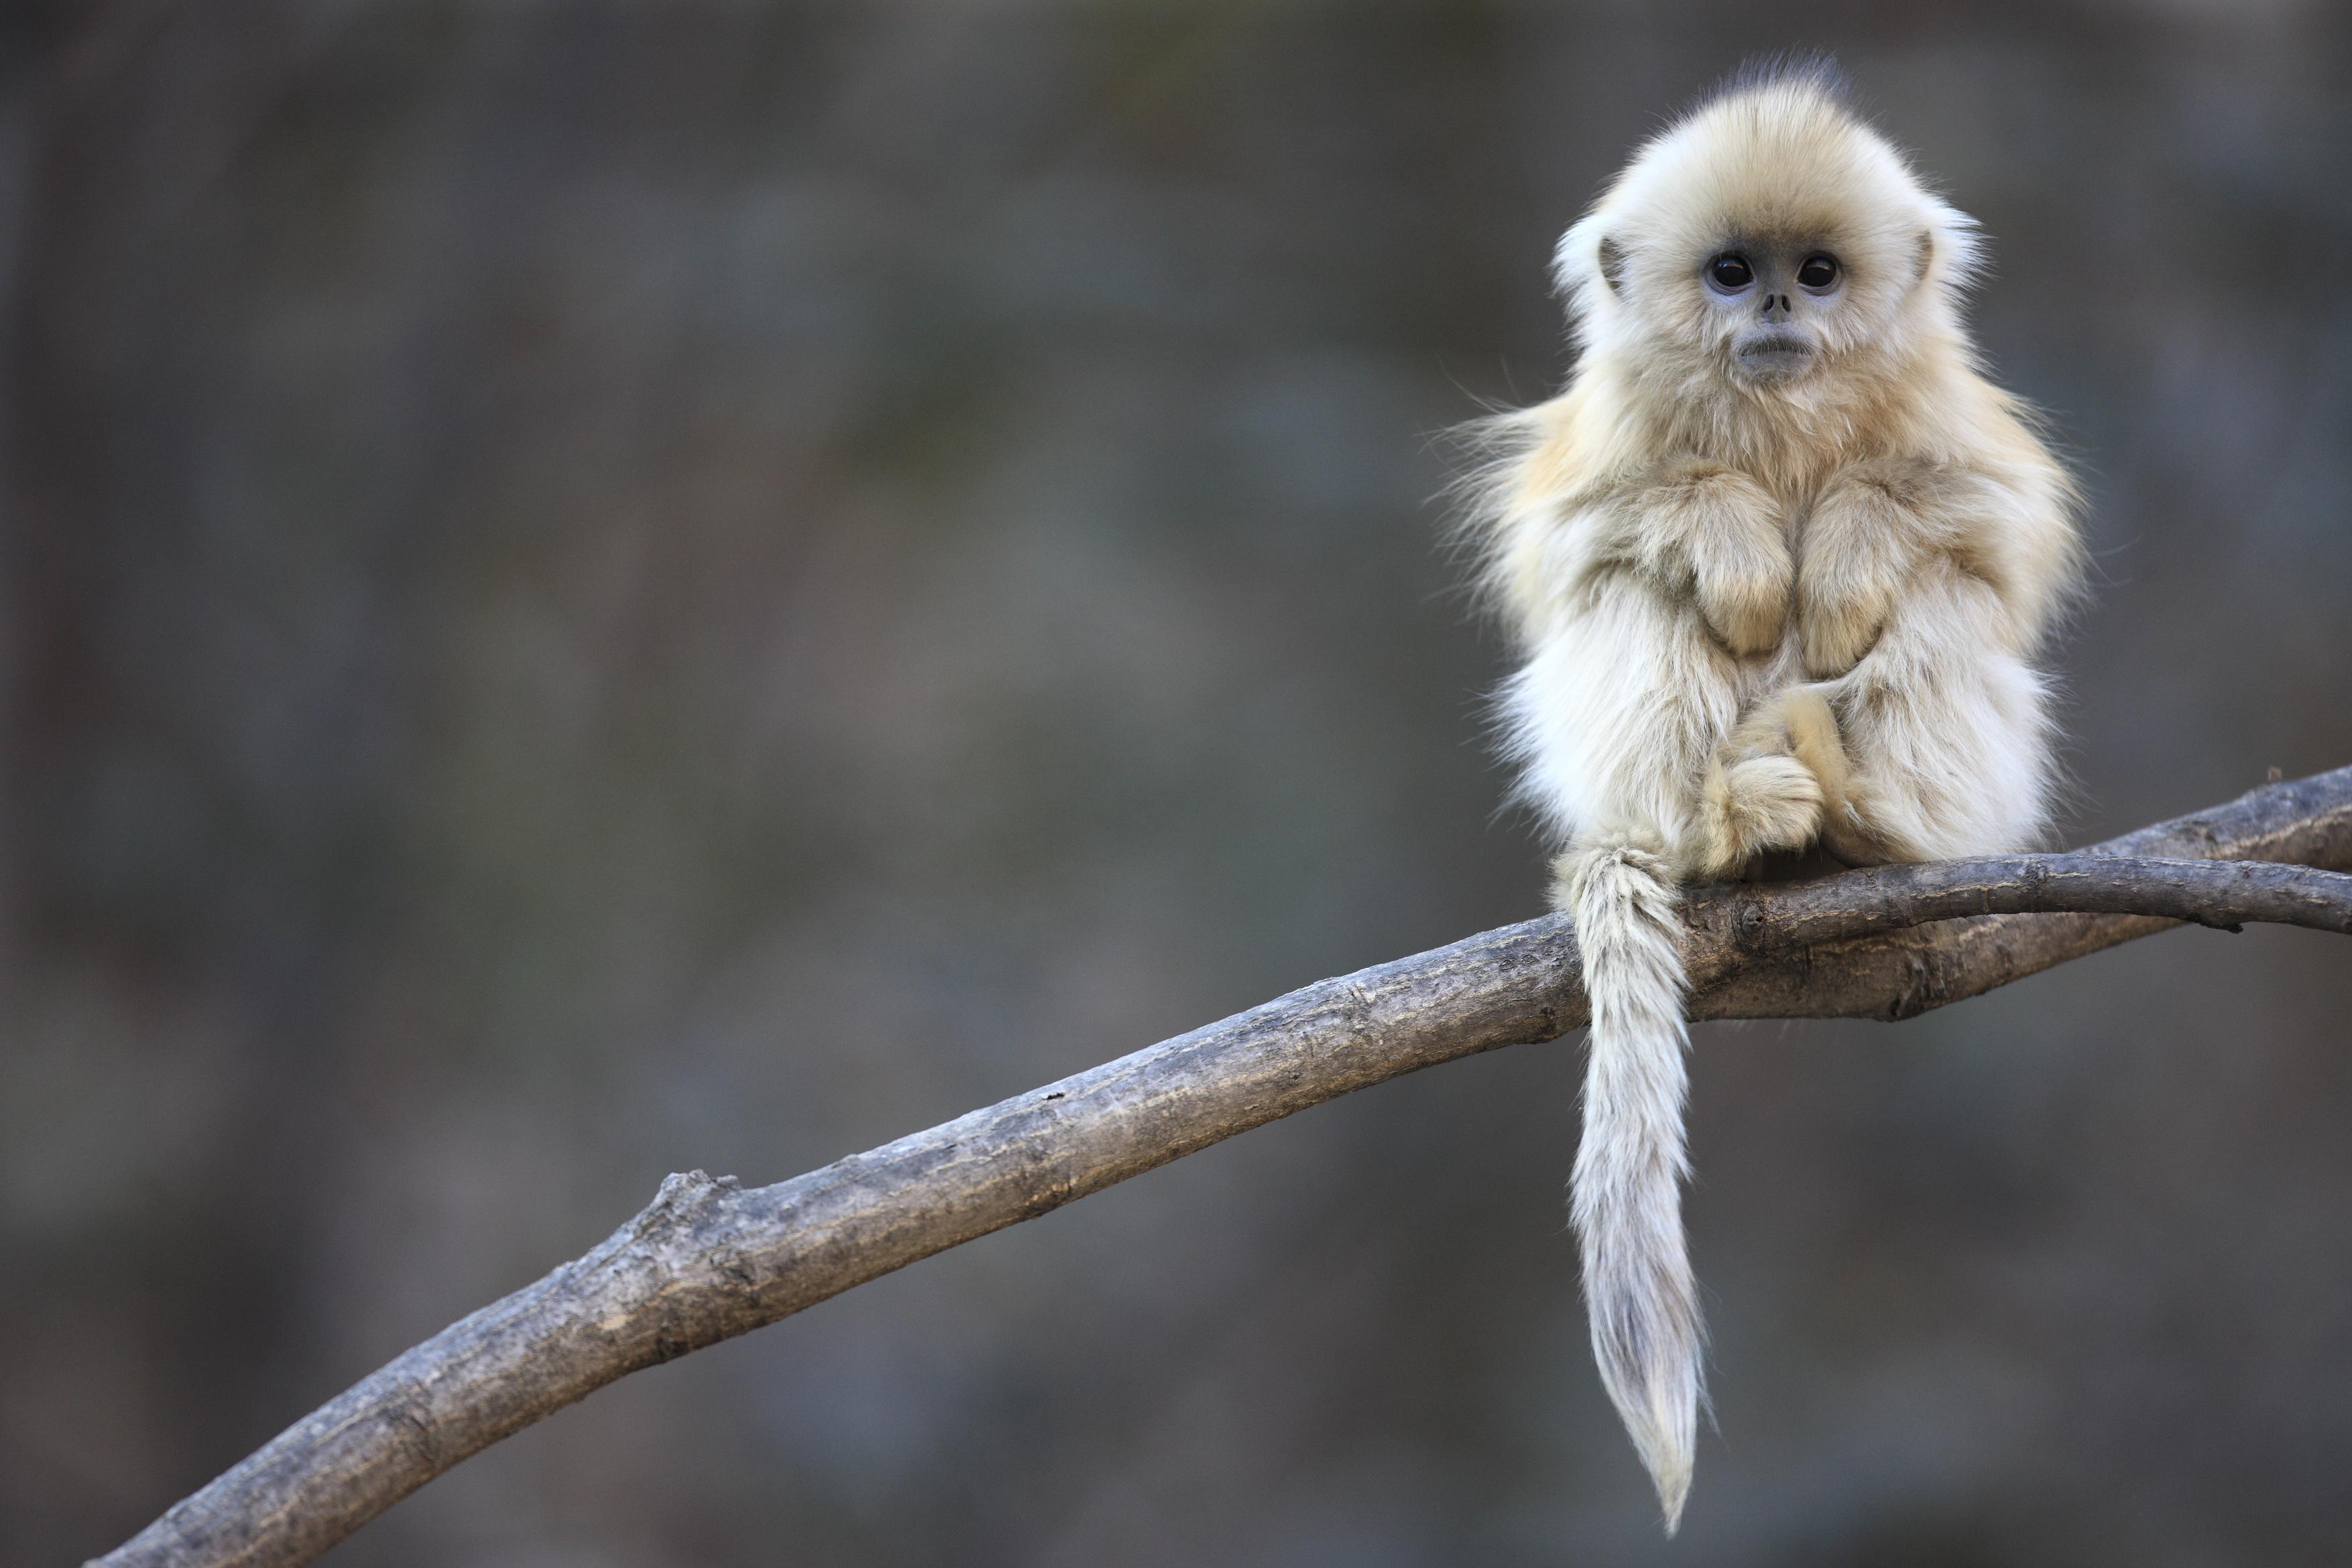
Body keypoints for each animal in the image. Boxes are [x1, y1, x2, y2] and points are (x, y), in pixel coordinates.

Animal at [1462, 61, 2082, 1532]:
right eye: (1731, 272)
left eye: (1817, 271)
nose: (1779, 315)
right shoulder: (1603, 444)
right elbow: (1586, 540)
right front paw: (1741, 549)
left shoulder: (1955, 428)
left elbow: (1988, 529)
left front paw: (1844, 555)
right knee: (1631, 593)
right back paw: (1719, 825)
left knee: (1943, 595)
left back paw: (1862, 814)